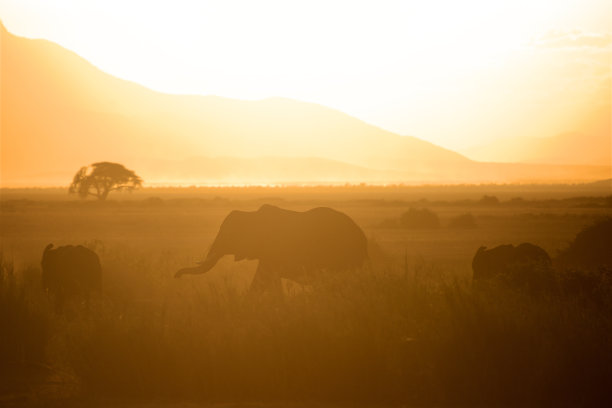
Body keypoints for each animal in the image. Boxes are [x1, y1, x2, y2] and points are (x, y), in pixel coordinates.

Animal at [176, 206, 368, 294]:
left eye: (228, 236)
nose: (176, 276)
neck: (252, 215)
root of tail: (362, 235)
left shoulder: (273, 250)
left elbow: (264, 280)